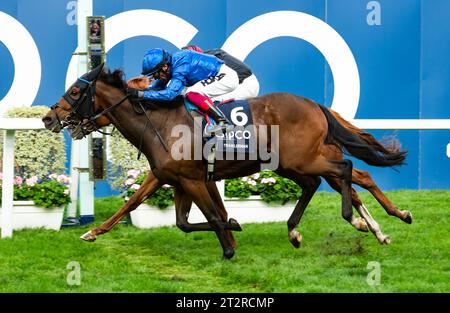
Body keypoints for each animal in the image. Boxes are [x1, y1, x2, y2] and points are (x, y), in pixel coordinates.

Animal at [41, 64, 408, 258]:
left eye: (75, 92)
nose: (48, 118)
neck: (159, 122)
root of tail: (316, 104)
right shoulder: (169, 178)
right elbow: (146, 209)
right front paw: (93, 232)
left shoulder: (193, 180)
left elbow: (212, 215)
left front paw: (230, 244)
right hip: (295, 163)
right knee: (345, 179)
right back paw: (374, 225)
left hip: (303, 160)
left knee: (345, 172)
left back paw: (361, 221)